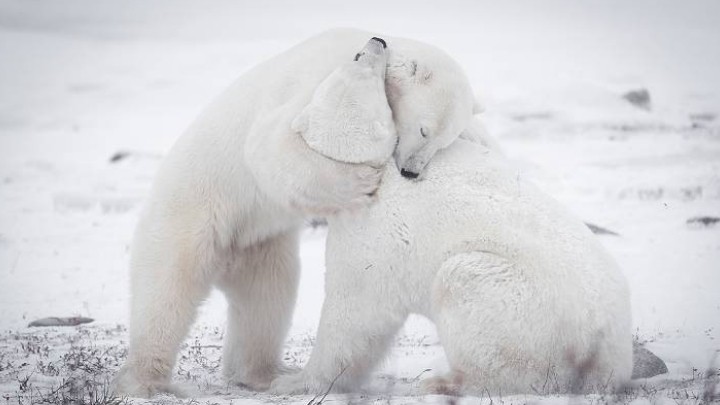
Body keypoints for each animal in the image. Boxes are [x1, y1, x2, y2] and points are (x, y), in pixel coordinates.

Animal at [114, 29, 484, 398]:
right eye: (424, 130)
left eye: (443, 140)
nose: (410, 171)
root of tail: (226, 254)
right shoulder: (318, 81)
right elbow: (269, 145)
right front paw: (359, 184)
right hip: (189, 215)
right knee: (165, 292)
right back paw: (148, 381)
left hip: (260, 244)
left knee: (268, 298)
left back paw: (262, 373)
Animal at [268, 39, 632, 392]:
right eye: (358, 59)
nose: (377, 41)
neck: (379, 169)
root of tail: (607, 354)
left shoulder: (374, 230)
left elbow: (356, 310)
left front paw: (293, 381)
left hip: (524, 304)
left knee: (464, 286)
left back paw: (445, 380)